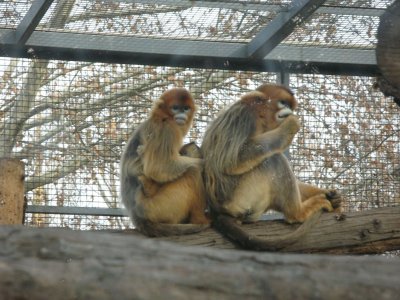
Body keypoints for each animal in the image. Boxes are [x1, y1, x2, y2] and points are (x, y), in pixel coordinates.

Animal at [202, 83, 342, 250]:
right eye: (283, 103)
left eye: (289, 105)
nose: (289, 110)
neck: (259, 118)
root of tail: (216, 211)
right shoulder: (243, 116)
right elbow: (231, 161)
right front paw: (289, 127)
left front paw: (330, 195)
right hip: (239, 198)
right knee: (274, 159)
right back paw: (297, 212)